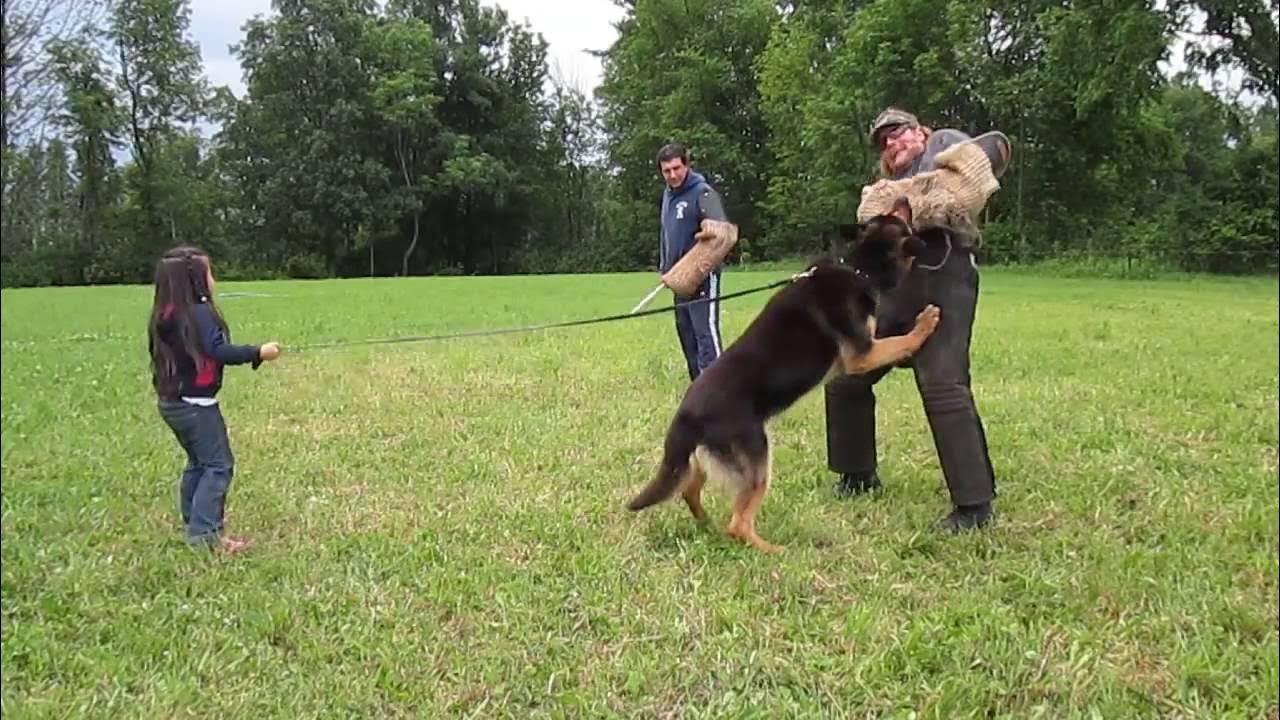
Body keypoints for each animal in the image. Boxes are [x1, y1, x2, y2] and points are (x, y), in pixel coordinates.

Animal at [627, 196, 942, 548]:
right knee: (738, 524)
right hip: (757, 458)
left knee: (689, 486)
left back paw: (705, 522)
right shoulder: (863, 354)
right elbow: (901, 340)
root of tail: (685, 414)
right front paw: (925, 323)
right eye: (894, 216)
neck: (859, 266)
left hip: (707, 459)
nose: (903, 198)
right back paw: (772, 548)